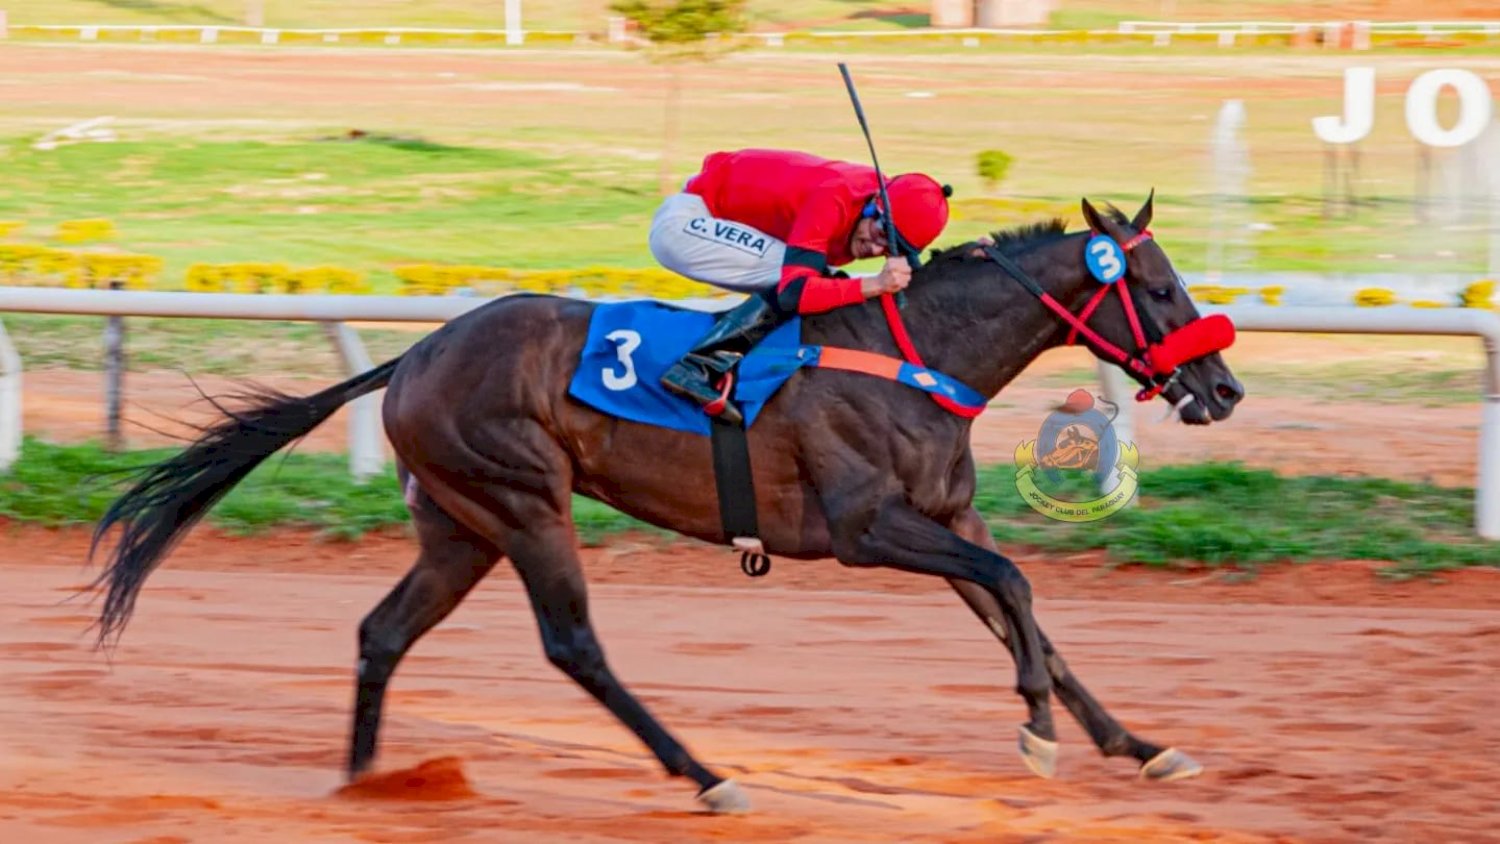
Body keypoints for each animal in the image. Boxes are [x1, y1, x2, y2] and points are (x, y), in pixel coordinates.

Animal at [89, 195, 1242, 814]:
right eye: (1163, 290)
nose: (1224, 388)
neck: (913, 350)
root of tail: (413, 354)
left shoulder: (947, 519)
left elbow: (1023, 608)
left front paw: (1139, 744)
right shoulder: (868, 531)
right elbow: (1014, 588)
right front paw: (1038, 731)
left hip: (459, 526)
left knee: (382, 632)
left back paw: (368, 782)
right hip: (523, 501)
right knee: (574, 645)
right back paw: (707, 775)